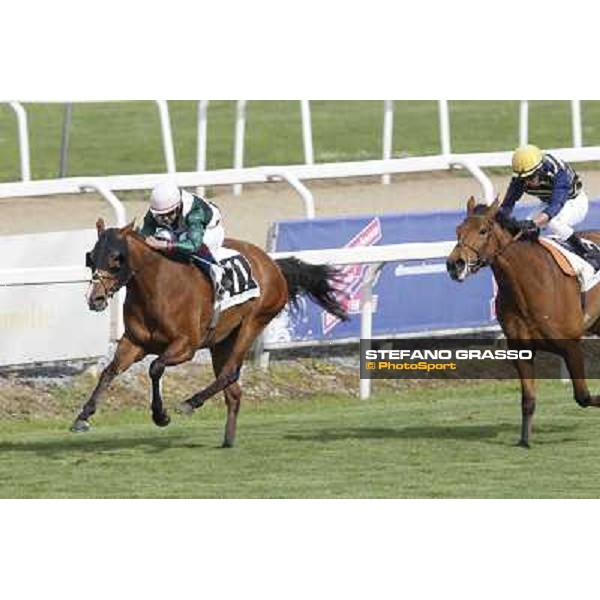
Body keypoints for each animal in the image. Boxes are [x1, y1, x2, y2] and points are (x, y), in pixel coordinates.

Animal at [75, 219, 350, 446]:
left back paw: (190, 403)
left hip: (253, 323)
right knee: (234, 391)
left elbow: (155, 367)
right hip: (222, 342)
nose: (95, 298)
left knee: (230, 373)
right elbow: (109, 371)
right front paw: (83, 416)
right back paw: (228, 440)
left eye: (116, 258)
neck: (157, 288)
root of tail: (272, 264)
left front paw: (161, 415)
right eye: (90, 257)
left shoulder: (186, 346)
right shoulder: (134, 343)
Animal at [446, 199, 600, 448]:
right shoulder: (520, 348)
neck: (528, 283)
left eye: (483, 231)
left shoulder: (571, 346)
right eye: (458, 230)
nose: (455, 264)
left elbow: (583, 396)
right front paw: (524, 440)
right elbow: (528, 398)